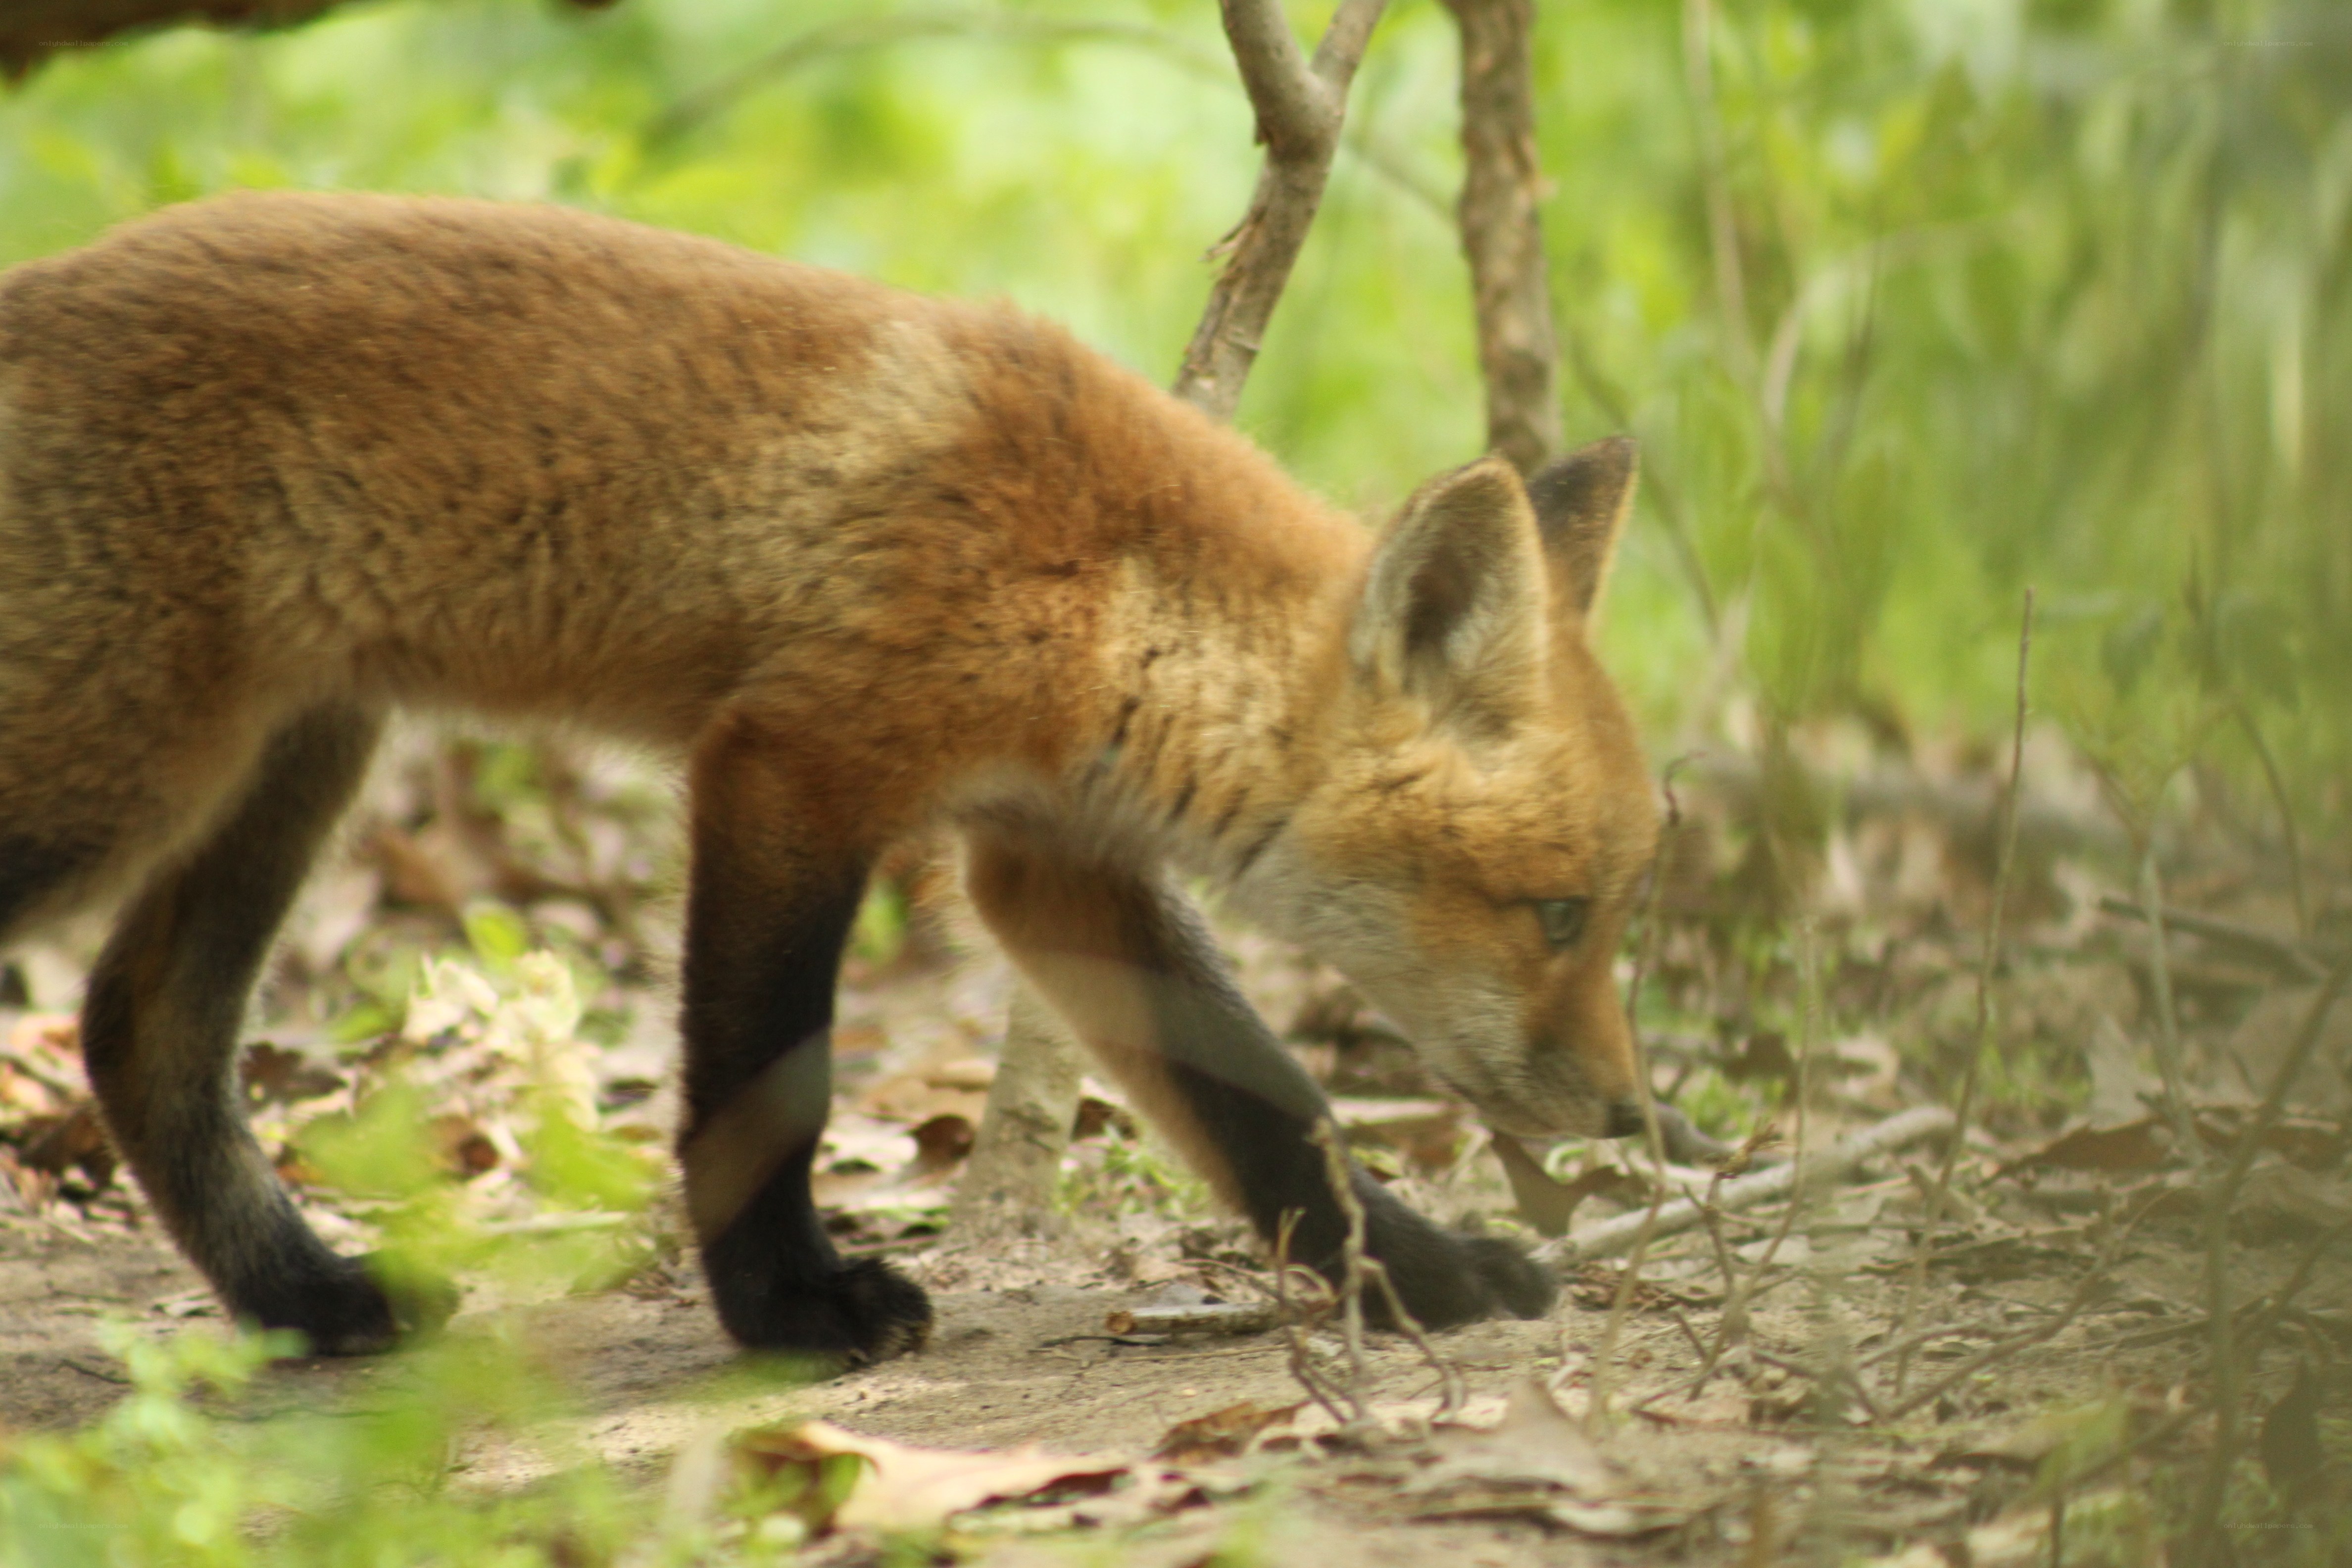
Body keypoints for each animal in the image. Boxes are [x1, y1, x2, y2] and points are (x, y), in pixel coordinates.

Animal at [0, 192, 1660, 1364]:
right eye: (1560, 916)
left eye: (1605, 914)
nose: (1641, 1123)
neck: (1113, 589)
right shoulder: (793, 765)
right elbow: (768, 1084)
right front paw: (790, 1313)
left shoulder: (1049, 859)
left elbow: (1271, 1106)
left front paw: (1424, 1279)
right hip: (115, 781)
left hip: (288, 766)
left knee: (140, 1032)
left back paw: (307, 1299)